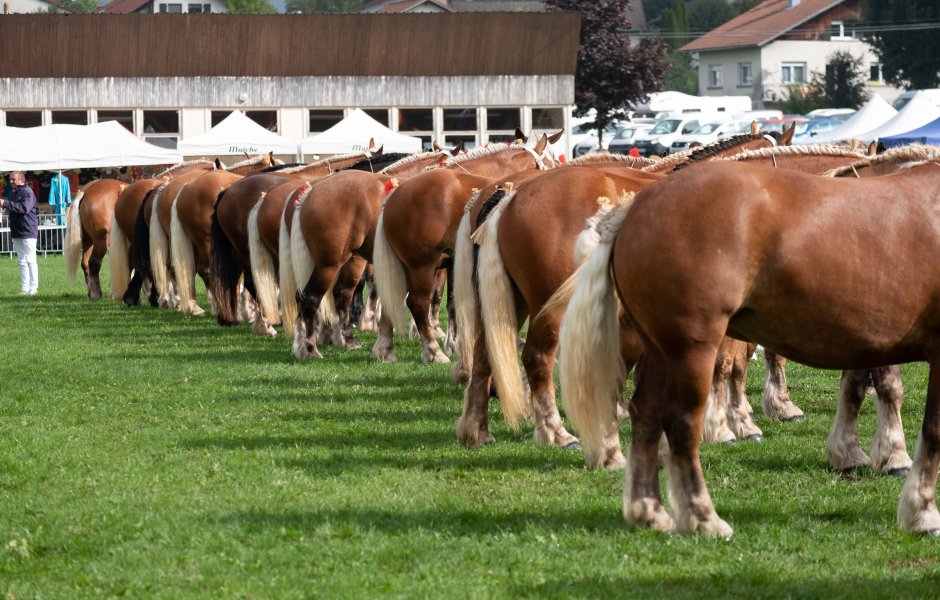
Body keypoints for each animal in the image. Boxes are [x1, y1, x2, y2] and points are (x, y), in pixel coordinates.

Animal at [370, 137, 560, 366]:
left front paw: (456, 344)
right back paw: (432, 351)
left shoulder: (456, 263)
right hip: (421, 265)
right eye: (548, 161)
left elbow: (454, 302)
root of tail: (394, 195)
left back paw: (386, 349)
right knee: (417, 304)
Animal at [556, 157, 940, 536]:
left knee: (645, 415)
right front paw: (922, 512)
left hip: (660, 351)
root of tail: (635, 209)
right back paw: (702, 517)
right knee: (680, 422)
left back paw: (648, 510)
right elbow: (932, 429)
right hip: (691, 350)